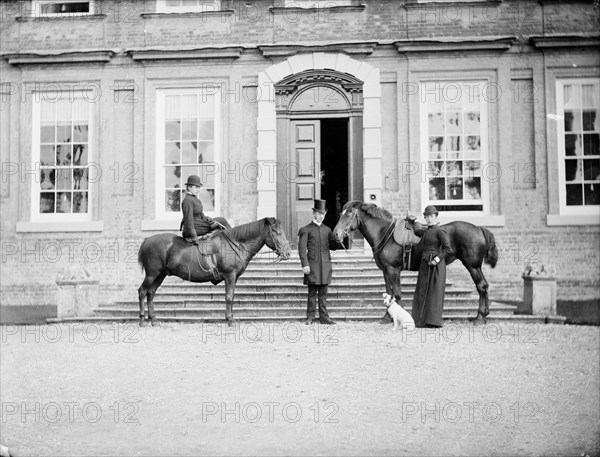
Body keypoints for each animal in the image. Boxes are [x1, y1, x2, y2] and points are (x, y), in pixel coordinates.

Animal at [139, 216, 292, 324]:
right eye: (276, 232)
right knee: (142, 291)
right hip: (152, 274)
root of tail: (147, 240)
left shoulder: (234, 278)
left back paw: (153, 319)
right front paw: (230, 319)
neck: (236, 244)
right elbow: (229, 297)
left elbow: (232, 296)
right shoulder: (230, 276)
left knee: (150, 293)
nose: (288, 253)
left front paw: (230, 317)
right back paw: (142, 320)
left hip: (160, 275)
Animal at [332, 201, 496, 322]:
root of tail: (479, 229)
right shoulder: (385, 270)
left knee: (481, 286)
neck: (385, 234)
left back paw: (479, 317)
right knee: (485, 286)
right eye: (340, 214)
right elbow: (389, 293)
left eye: (349, 214)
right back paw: (485, 314)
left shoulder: (393, 270)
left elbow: (397, 293)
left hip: (472, 266)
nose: (335, 234)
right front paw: (386, 317)